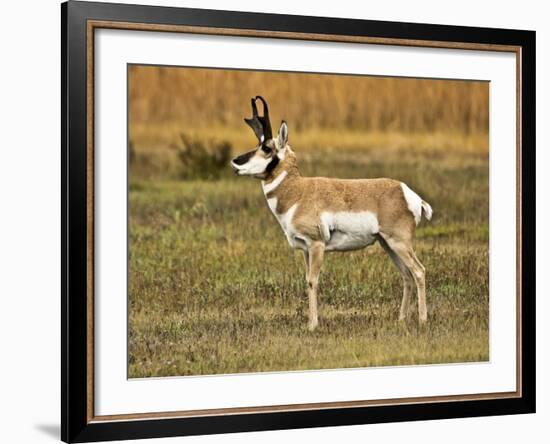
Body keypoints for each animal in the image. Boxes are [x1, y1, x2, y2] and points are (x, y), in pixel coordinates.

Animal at [231, 98, 434, 332]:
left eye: (266, 148)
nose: (235, 162)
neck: (298, 191)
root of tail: (407, 192)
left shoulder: (316, 245)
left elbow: (313, 281)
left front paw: (313, 325)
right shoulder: (305, 249)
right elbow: (307, 280)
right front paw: (310, 322)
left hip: (399, 242)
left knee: (419, 271)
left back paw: (422, 320)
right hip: (387, 244)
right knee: (406, 275)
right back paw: (401, 320)